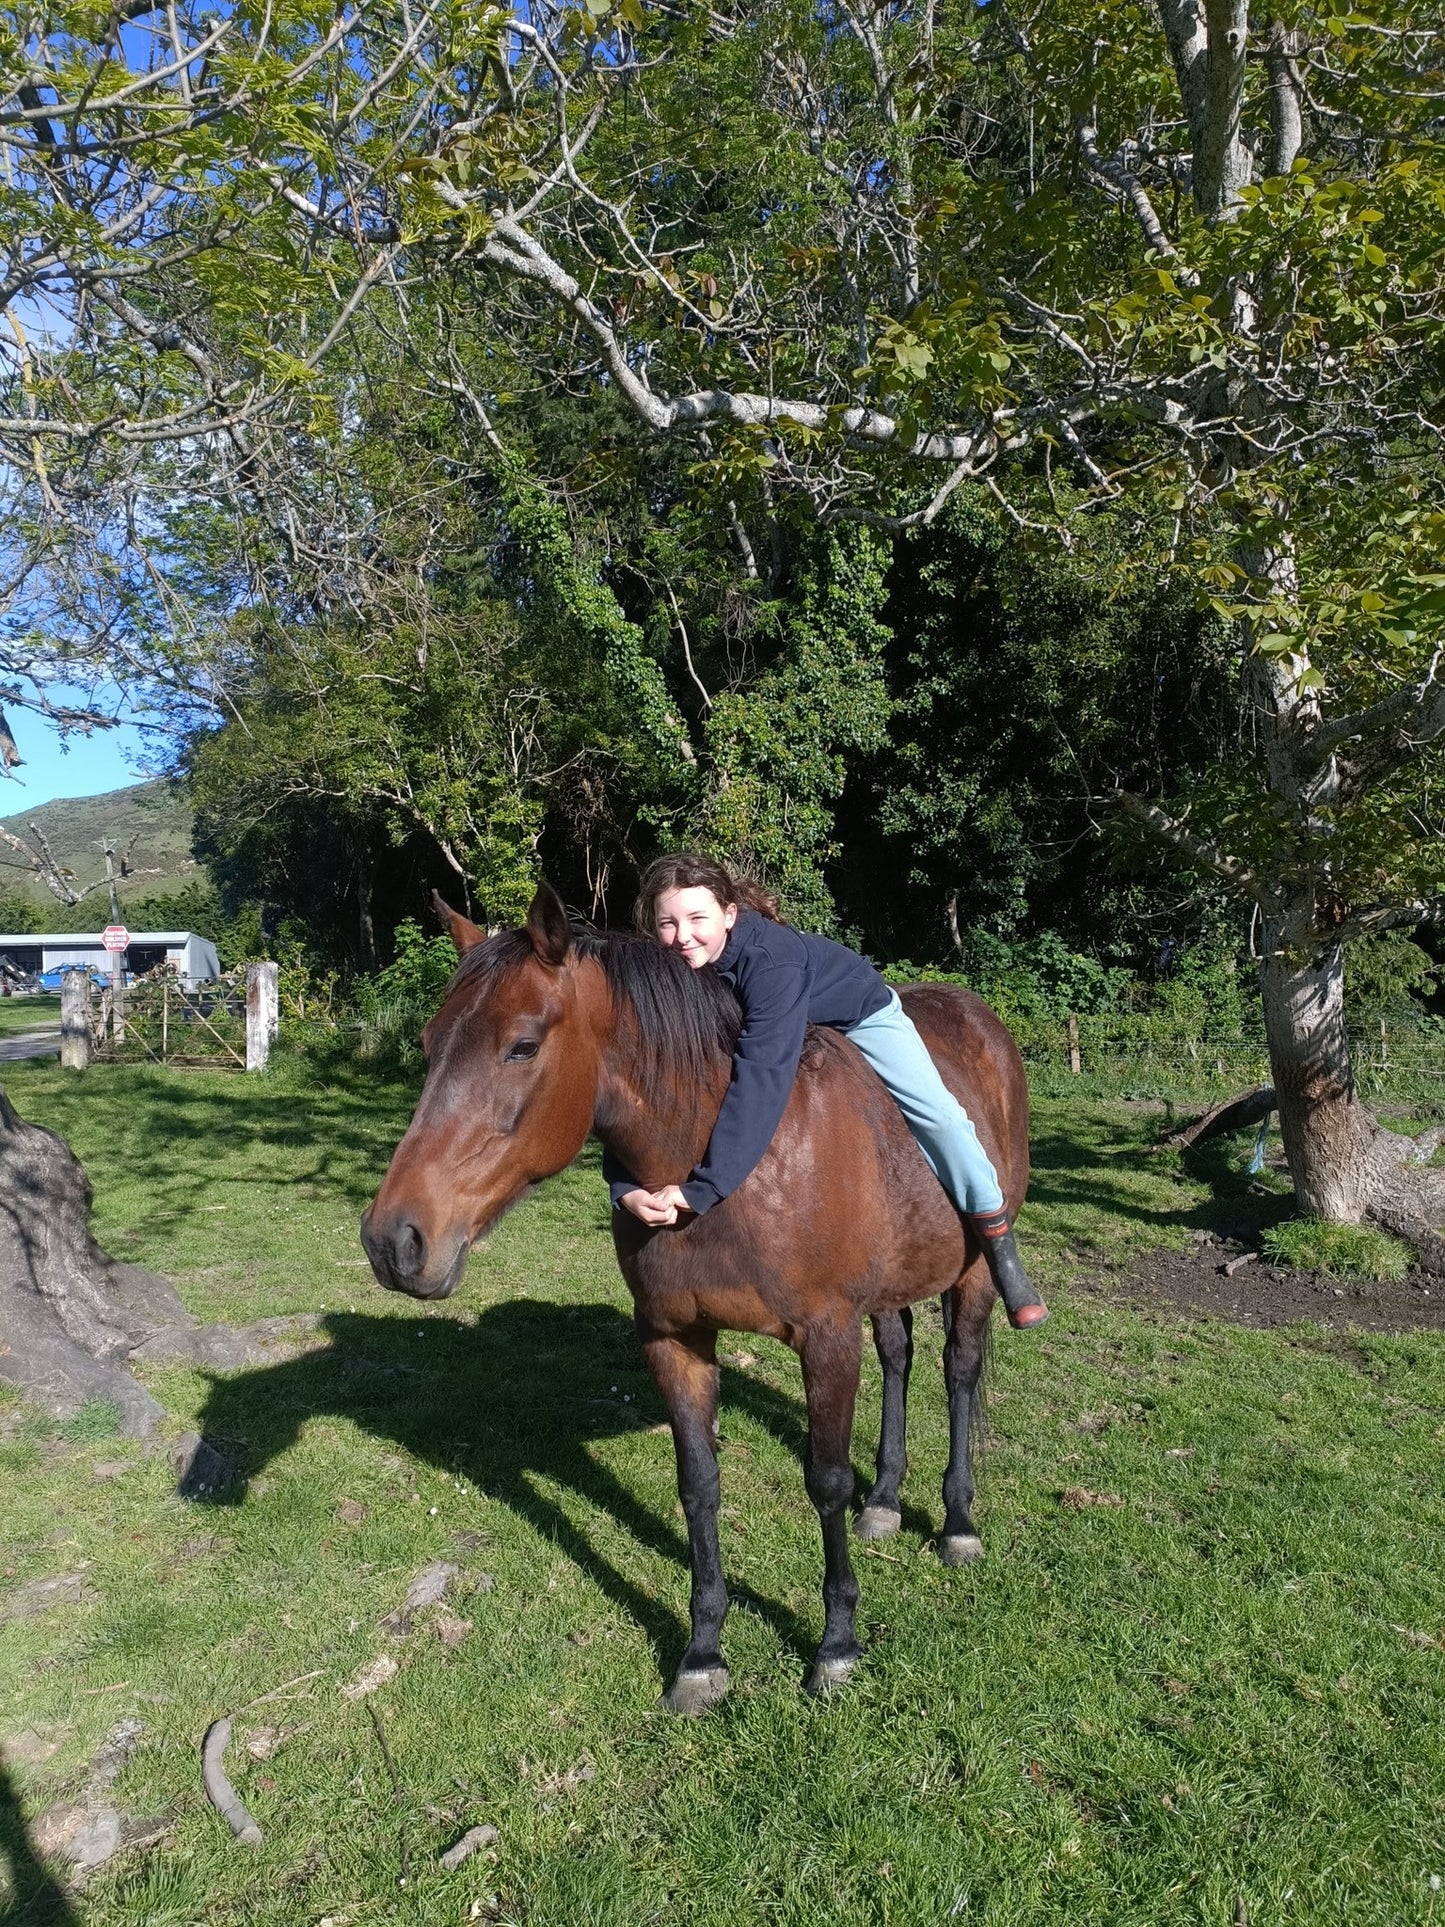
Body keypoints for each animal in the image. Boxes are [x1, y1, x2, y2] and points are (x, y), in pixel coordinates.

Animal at [362, 883, 1031, 1712]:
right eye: (428, 1045)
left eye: (520, 1045)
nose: (393, 1240)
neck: (724, 1159)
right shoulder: (673, 1339)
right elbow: (698, 1484)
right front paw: (703, 1652)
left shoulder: (826, 1338)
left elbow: (824, 1480)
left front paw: (836, 1642)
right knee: (899, 1354)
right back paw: (884, 1498)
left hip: (970, 1270)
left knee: (958, 1369)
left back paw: (957, 1521)